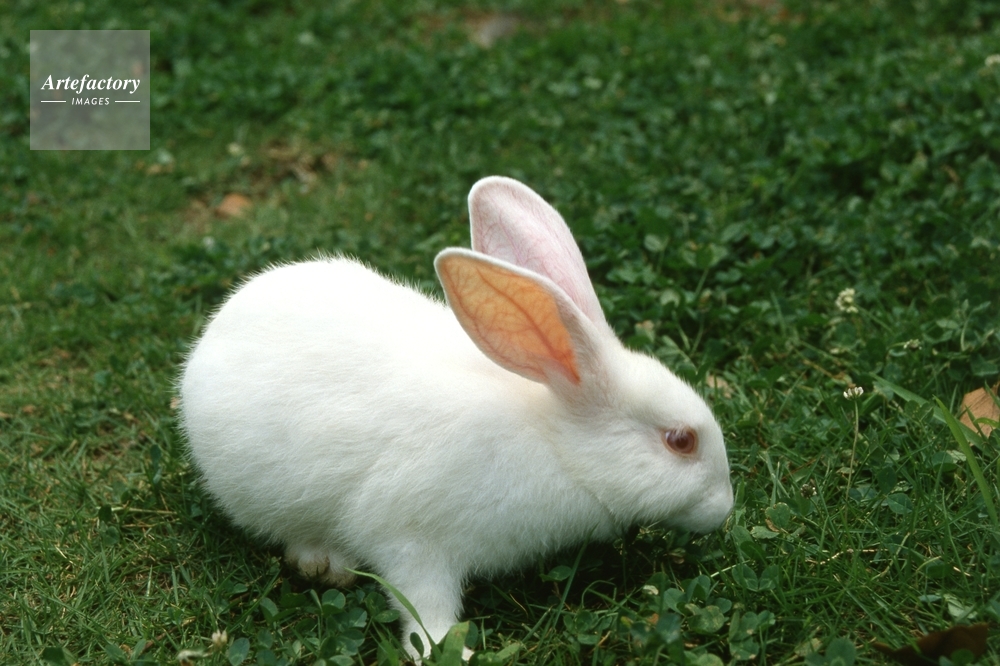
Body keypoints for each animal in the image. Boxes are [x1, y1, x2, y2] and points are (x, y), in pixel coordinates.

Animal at [179, 176, 734, 658]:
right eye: (680, 440)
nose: (724, 508)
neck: (555, 441)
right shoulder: (412, 540)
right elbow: (424, 608)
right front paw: (453, 651)